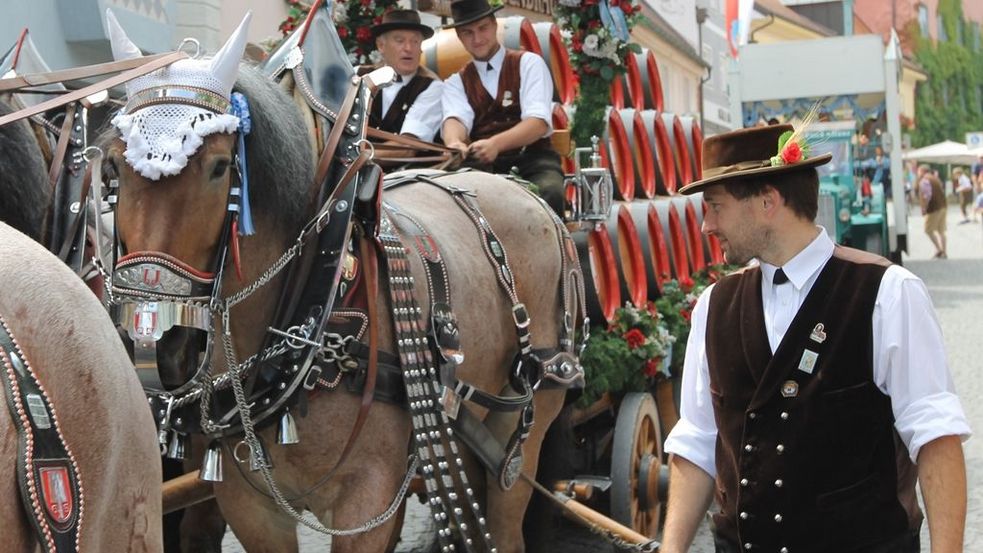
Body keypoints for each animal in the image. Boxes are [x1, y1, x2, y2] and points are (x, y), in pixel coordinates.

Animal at [103, 17, 576, 552]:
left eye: (221, 167)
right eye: (113, 165)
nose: (159, 339)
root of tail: (524, 191)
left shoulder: (366, 498)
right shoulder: (249, 505)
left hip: (527, 414)